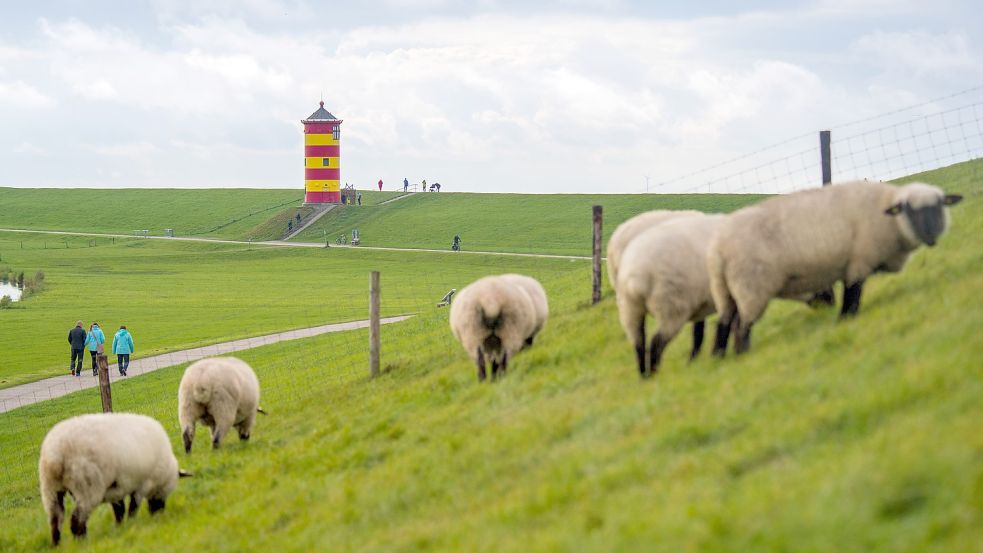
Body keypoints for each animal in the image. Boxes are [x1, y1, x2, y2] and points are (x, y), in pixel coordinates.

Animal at [38, 410, 190, 544]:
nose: (158, 514)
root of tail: (55, 455)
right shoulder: (142, 485)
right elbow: (133, 507)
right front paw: (131, 522)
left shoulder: (117, 489)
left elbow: (119, 509)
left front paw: (120, 527)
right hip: (86, 487)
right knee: (76, 519)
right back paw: (82, 542)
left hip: (50, 489)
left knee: (55, 519)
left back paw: (56, 544)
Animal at [620, 211, 728, 376]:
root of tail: (636, 276)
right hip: (671, 306)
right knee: (656, 342)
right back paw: (655, 374)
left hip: (630, 308)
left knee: (639, 343)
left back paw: (645, 376)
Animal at [712, 181, 964, 354]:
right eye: (908, 209)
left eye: (939, 206)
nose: (931, 236)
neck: (887, 214)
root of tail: (717, 248)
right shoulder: (859, 262)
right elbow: (852, 294)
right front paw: (845, 320)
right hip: (751, 288)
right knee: (740, 326)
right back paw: (742, 353)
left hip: (726, 291)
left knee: (724, 322)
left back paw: (719, 358)